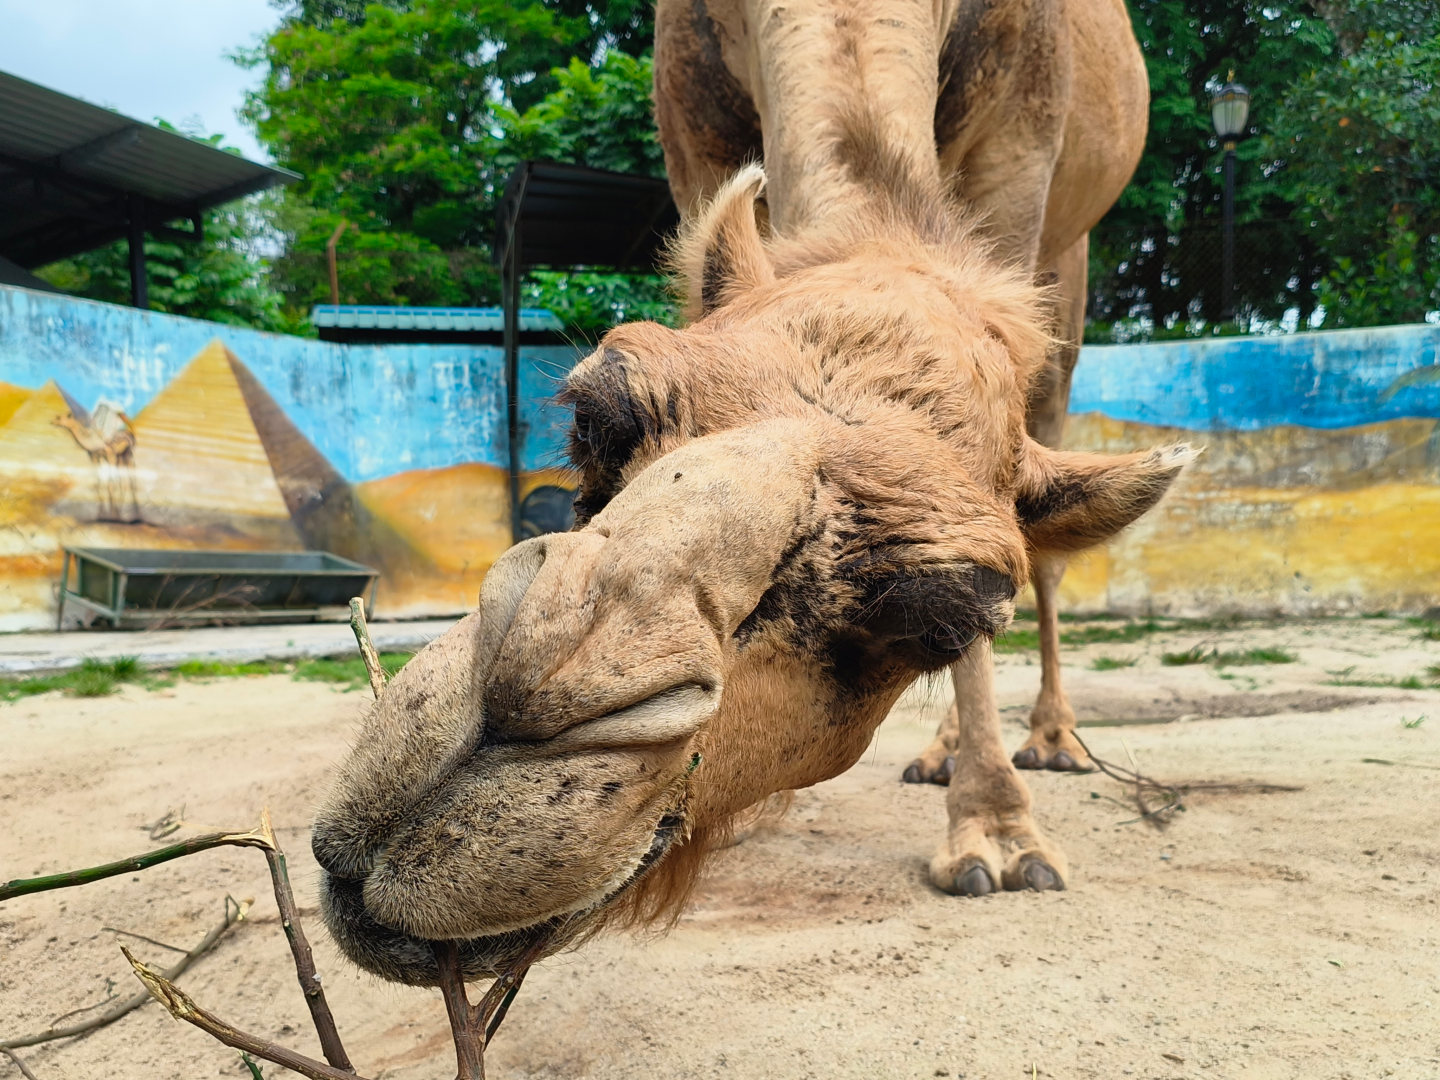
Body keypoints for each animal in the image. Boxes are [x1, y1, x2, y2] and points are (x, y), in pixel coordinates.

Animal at [312, 0, 1184, 985]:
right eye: (593, 417)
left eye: (948, 616)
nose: (490, 734)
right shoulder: (694, 136)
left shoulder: (1023, 154)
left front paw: (997, 839)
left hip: (1071, 264)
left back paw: (1047, 746)